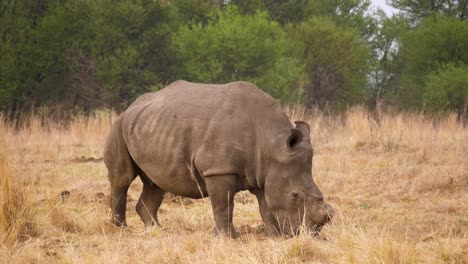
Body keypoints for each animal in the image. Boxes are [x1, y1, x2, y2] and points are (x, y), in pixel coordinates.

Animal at [104, 80, 334, 237]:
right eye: (294, 195)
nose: (309, 233)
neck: (272, 144)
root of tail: (131, 106)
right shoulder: (218, 169)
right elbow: (224, 205)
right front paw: (228, 237)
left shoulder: (265, 172)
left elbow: (266, 206)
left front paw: (273, 236)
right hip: (119, 125)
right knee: (122, 178)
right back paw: (120, 229)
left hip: (151, 126)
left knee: (156, 182)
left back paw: (158, 230)